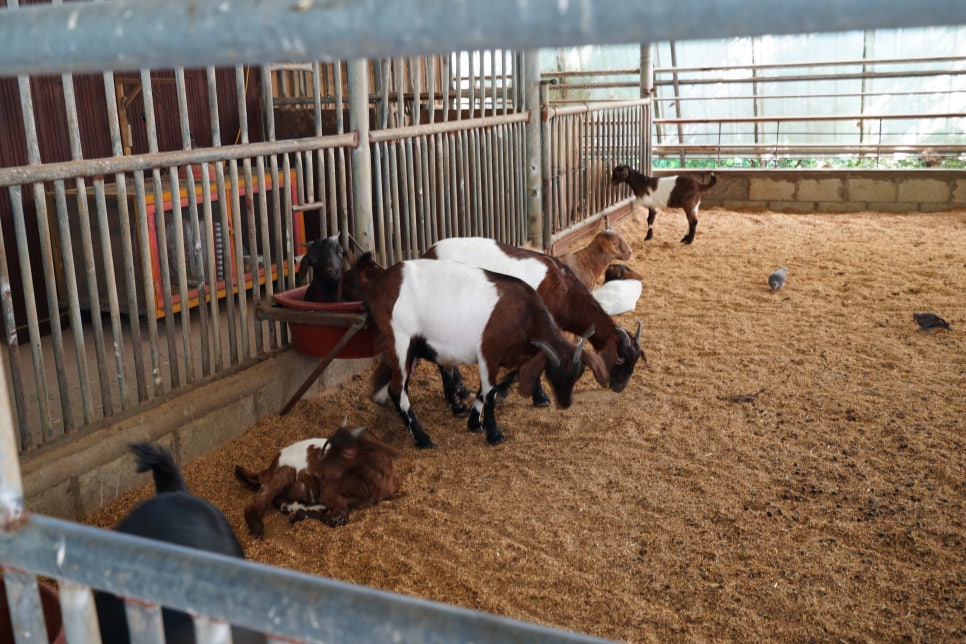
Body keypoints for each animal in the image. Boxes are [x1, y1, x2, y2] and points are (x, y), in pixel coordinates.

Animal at [236, 426, 398, 536]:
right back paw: (257, 528)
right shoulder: (329, 490)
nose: (321, 470)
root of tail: (267, 470)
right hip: (283, 474)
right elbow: (339, 518)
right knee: (255, 506)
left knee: (282, 502)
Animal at [424, 236, 644, 412]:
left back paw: (461, 391)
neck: (562, 290)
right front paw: (532, 396)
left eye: (636, 360)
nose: (619, 386)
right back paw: (456, 405)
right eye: (620, 359)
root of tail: (429, 254)